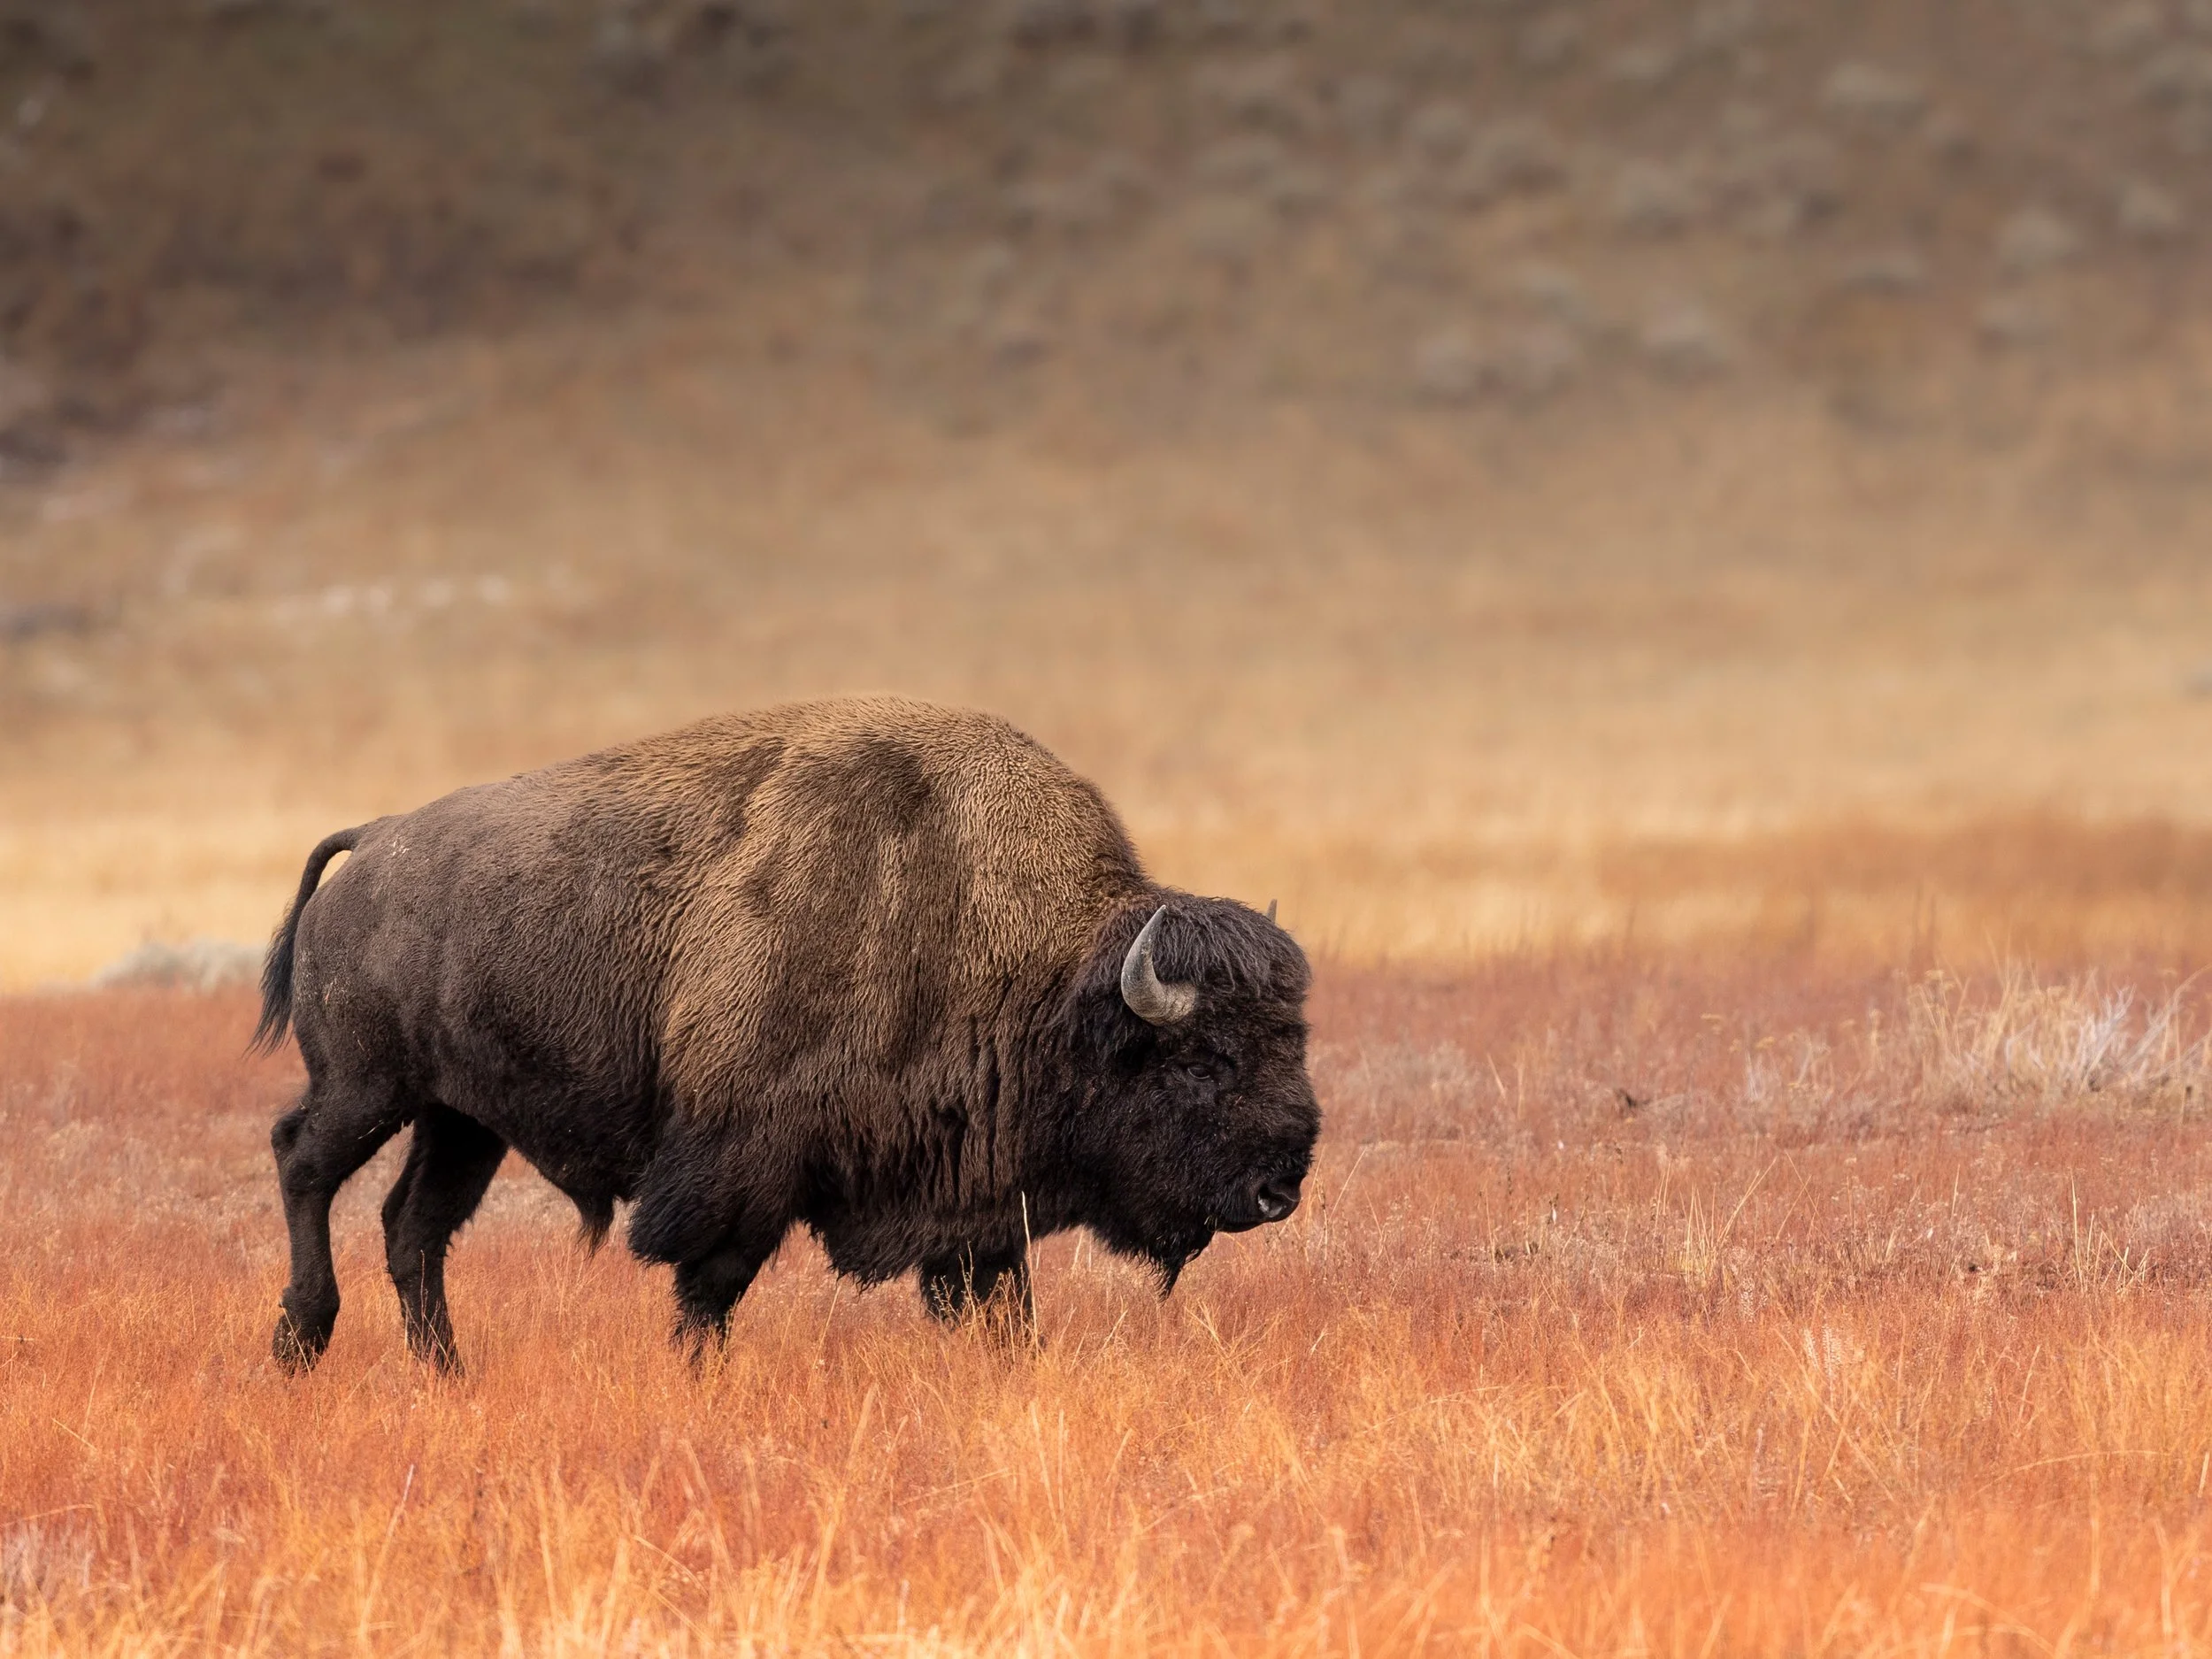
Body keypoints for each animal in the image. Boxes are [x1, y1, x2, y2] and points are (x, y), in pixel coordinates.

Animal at [253, 697, 1320, 1373]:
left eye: (1291, 1039)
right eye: (1203, 1058)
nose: (1280, 1190)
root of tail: (375, 840)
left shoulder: (973, 1201)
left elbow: (1000, 1301)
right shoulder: (738, 1166)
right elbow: (708, 1288)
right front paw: (696, 1377)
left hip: (461, 1120)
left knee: (413, 1227)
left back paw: (448, 1372)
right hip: (367, 1087)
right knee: (303, 1162)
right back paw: (301, 1339)